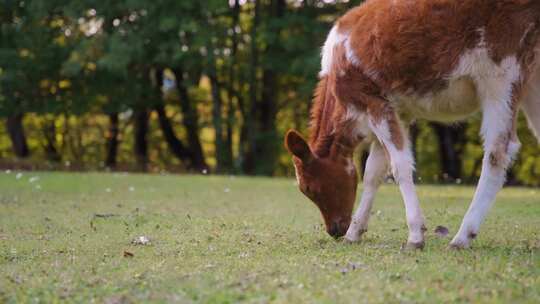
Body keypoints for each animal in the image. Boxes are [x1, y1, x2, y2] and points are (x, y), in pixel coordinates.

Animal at [284, 0, 540, 249]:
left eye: (308, 188)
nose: (334, 231)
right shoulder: (397, 111)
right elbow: (373, 172)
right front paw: (355, 232)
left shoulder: (373, 102)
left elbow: (400, 166)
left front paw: (415, 235)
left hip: (502, 75)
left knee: (498, 152)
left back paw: (462, 237)